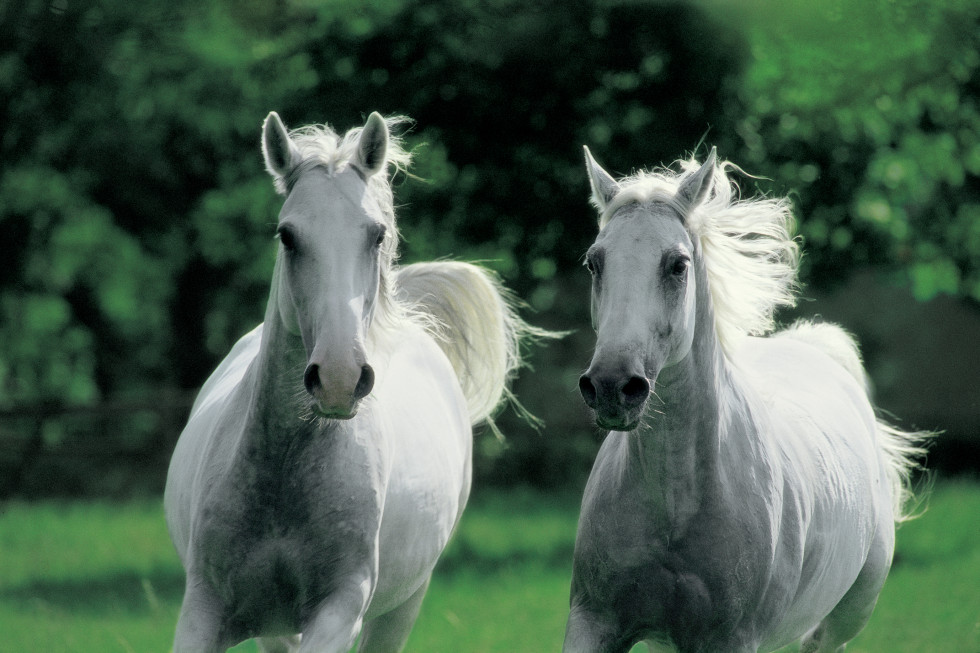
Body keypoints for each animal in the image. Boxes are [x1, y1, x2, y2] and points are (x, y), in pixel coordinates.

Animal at [168, 112, 536, 652]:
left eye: (376, 235)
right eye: (287, 236)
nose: (339, 378)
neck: (283, 477)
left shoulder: (339, 612)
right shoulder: (203, 608)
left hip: (402, 607)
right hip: (277, 631)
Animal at [564, 148, 924, 652]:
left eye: (677, 265)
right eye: (594, 263)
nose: (613, 386)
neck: (676, 507)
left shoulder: (731, 639)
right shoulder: (593, 623)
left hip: (839, 622)